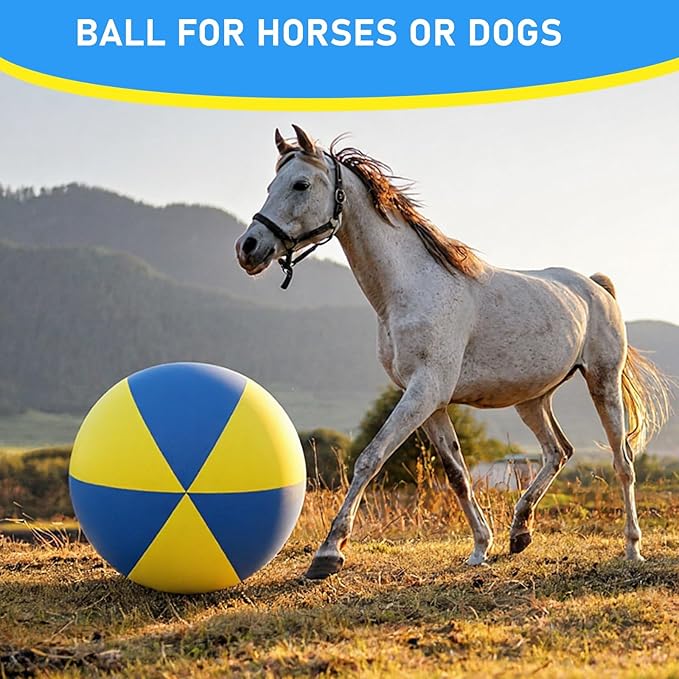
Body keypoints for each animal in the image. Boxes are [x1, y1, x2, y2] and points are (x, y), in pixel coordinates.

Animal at [235, 125, 670, 580]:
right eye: (271, 185)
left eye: (300, 184)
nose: (248, 247)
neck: (412, 288)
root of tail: (595, 285)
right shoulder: (431, 401)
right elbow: (457, 473)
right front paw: (480, 547)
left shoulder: (425, 392)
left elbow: (370, 458)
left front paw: (328, 553)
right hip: (532, 399)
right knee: (558, 452)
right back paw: (520, 532)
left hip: (602, 382)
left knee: (622, 463)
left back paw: (632, 548)